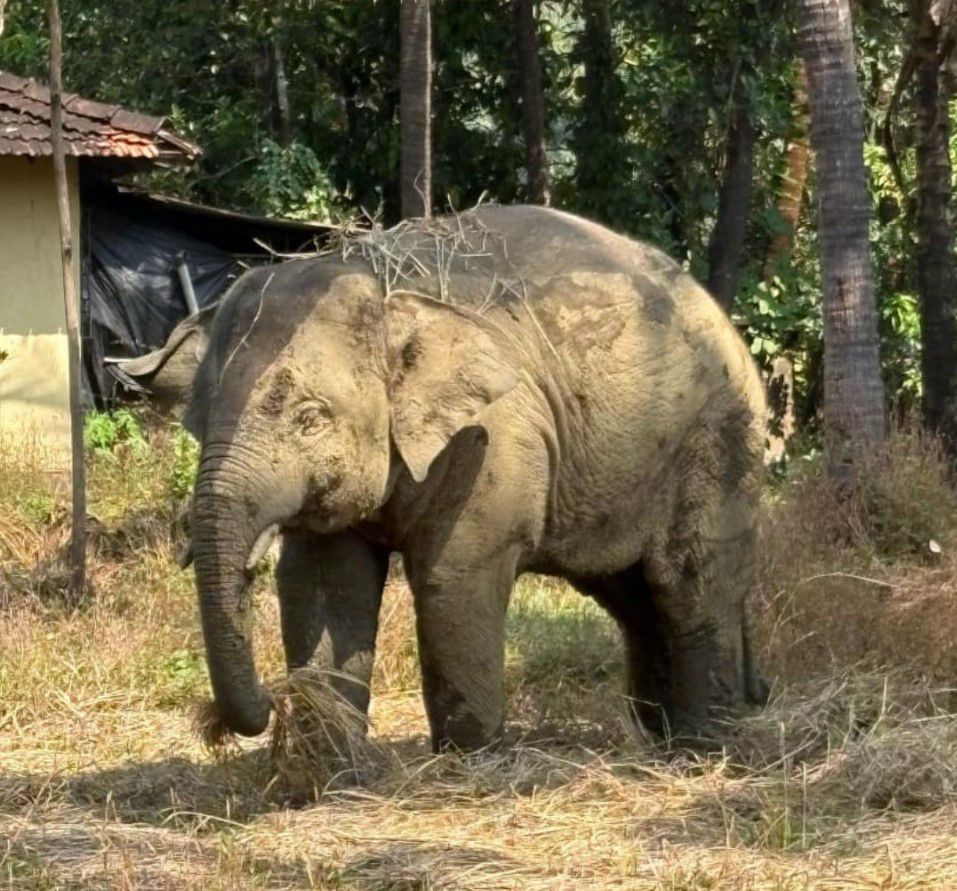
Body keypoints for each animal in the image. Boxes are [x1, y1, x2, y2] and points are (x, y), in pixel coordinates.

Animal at [184, 204, 767, 752]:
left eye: (309, 417)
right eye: (200, 415)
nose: (265, 703)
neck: (384, 281)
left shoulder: (493, 439)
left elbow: (454, 576)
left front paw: (467, 758)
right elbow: (324, 583)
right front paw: (322, 765)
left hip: (716, 438)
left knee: (688, 580)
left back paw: (701, 742)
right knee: (632, 595)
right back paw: (660, 733)